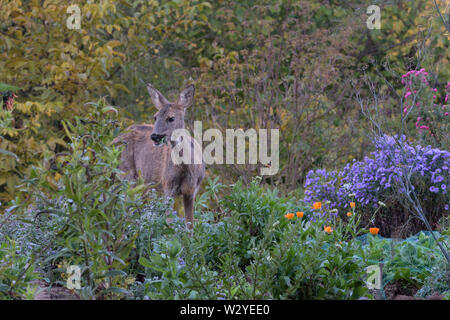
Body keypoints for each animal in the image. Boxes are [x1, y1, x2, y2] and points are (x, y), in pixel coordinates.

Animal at [111, 84, 205, 229]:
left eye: (171, 118)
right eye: (155, 117)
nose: (155, 136)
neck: (188, 168)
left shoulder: (191, 191)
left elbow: (190, 226)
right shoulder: (168, 185)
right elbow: (169, 222)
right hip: (127, 174)